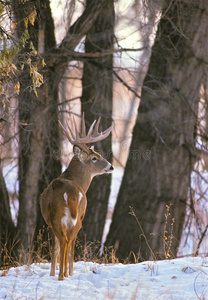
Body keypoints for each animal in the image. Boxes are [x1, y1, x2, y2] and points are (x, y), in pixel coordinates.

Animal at [39, 113, 114, 280]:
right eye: (94, 157)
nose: (111, 166)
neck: (75, 179)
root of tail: (71, 193)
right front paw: (65, 273)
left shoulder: (51, 223)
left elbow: (57, 248)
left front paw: (56, 273)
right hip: (76, 217)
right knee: (67, 242)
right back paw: (63, 275)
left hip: (61, 217)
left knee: (65, 242)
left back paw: (62, 275)